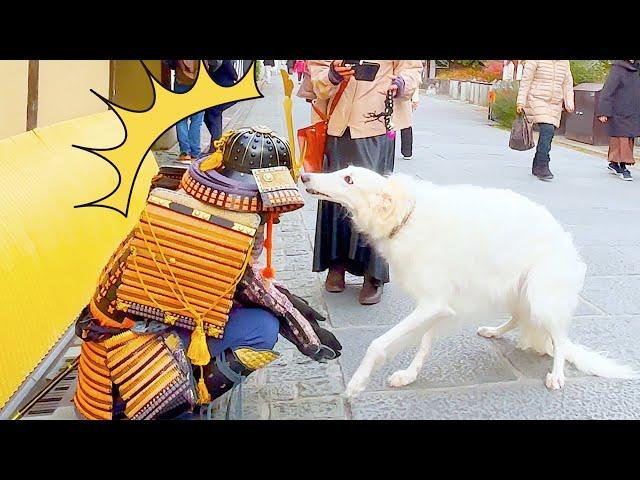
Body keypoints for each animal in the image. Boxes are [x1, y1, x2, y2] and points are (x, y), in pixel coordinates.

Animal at [302, 167, 640, 396]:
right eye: (342, 171)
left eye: (348, 179)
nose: (305, 176)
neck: (406, 215)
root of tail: (563, 238)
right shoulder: (437, 305)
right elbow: (423, 344)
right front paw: (409, 375)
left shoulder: (433, 303)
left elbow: (378, 344)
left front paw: (357, 383)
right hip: (513, 290)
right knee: (519, 318)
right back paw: (493, 331)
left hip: (540, 298)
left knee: (560, 339)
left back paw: (556, 376)